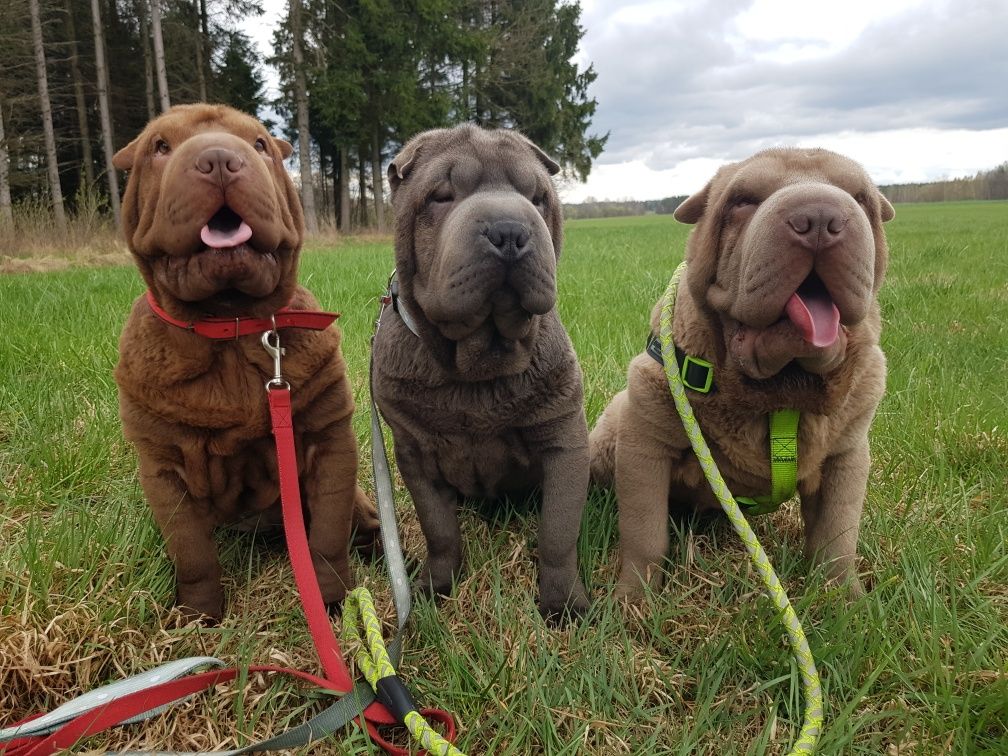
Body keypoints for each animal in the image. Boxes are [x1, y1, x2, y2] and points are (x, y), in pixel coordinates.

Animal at [111, 105, 379, 620]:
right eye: (160, 146)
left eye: (259, 144)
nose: (218, 159)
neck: (230, 326)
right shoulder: (162, 464)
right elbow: (192, 551)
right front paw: (199, 616)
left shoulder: (330, 439)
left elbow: (329, 535)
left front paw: (333, 602)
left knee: (362, 518)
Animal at [370, 126, 588, 620]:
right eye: (441, 196)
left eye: (538, 198)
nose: (509, 230)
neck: (477, 360)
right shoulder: (414, 451)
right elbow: (439, 529)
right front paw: (436, 587)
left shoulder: (564, 439)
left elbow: (558, 532)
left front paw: (563, 605)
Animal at [592, 146, 895, 596]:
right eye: (742, 201)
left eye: (861, 199)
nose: (819, 218)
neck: (782, 390)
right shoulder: (645, 441)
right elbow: (644, 532)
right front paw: (632, 599)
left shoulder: (847, 455)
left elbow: (838, 534)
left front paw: (847, 600)